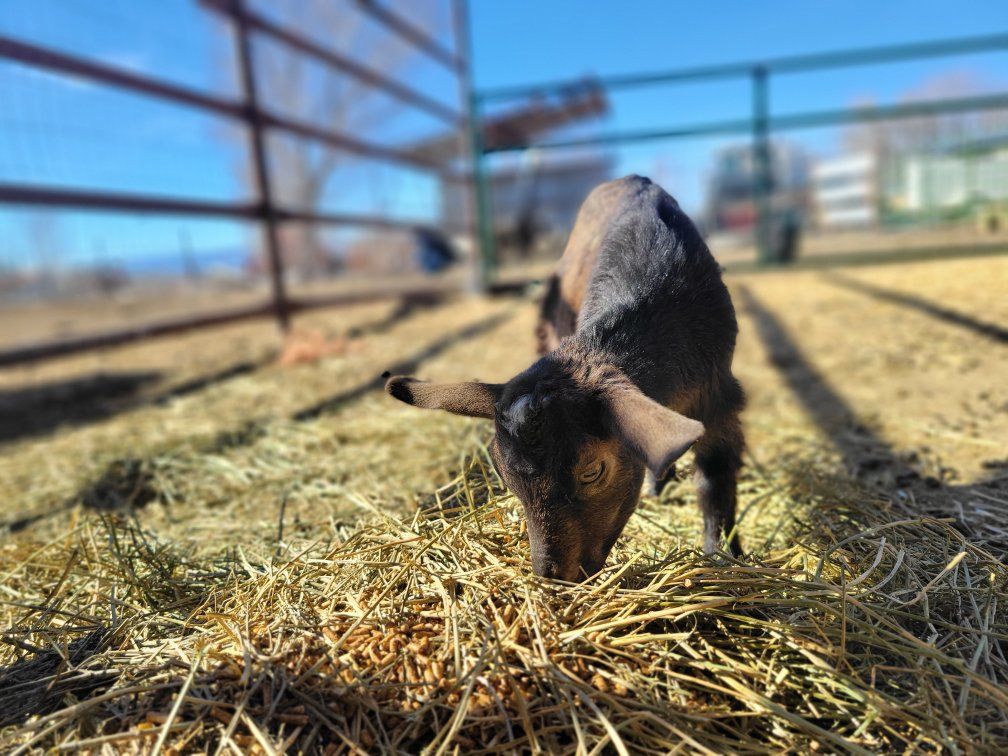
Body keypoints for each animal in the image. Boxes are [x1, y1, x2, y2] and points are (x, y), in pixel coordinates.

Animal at [386, 175, 745, 581]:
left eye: (593, 471)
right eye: (503, 475)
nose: (552, 574)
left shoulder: (718, 393)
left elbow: (714, 476)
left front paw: (725, 559)